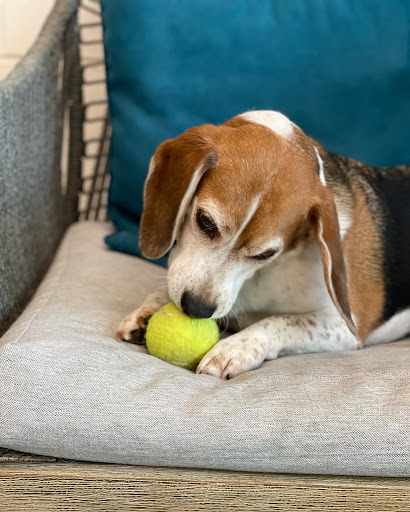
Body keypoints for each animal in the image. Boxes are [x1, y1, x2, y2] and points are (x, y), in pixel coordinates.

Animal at [115, 109, 410, 380]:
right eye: (205, 221)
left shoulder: (345, 328)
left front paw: (235, 348)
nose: (197, 309)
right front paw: (148, 308)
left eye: (266, 254)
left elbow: (281, 321)